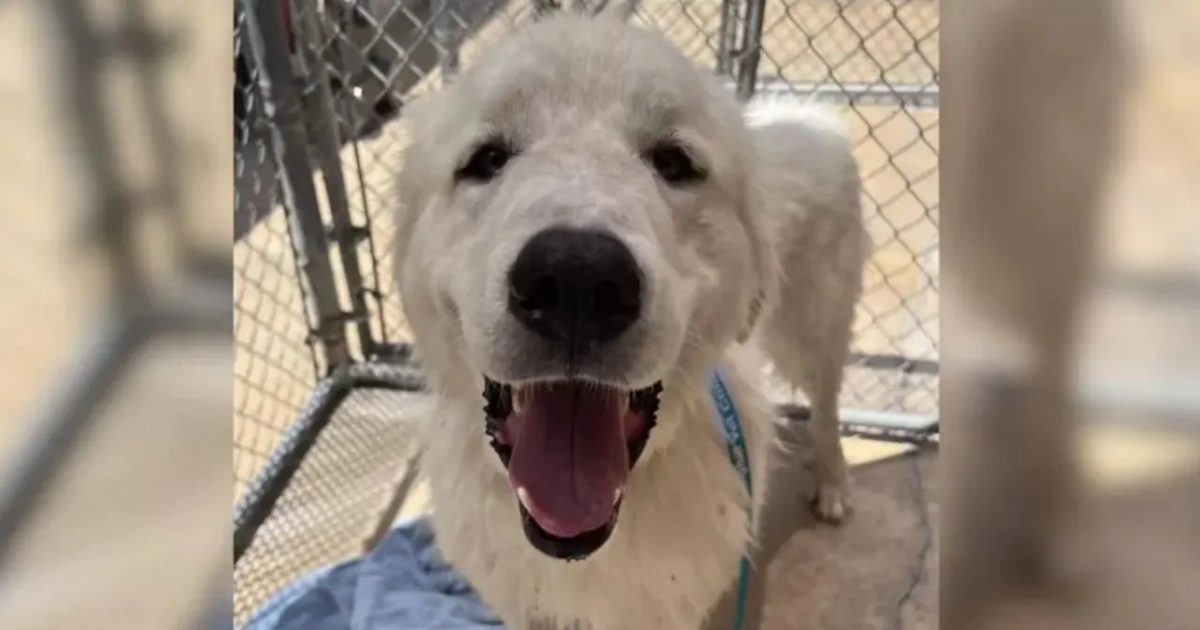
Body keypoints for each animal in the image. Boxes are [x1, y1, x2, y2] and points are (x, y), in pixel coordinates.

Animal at [393, 7, 873, 624]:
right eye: (487, 160)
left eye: (674, 162)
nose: (575, 278)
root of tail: (803, 115)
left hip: (813, 328)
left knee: (826, 404)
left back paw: (833, 486)